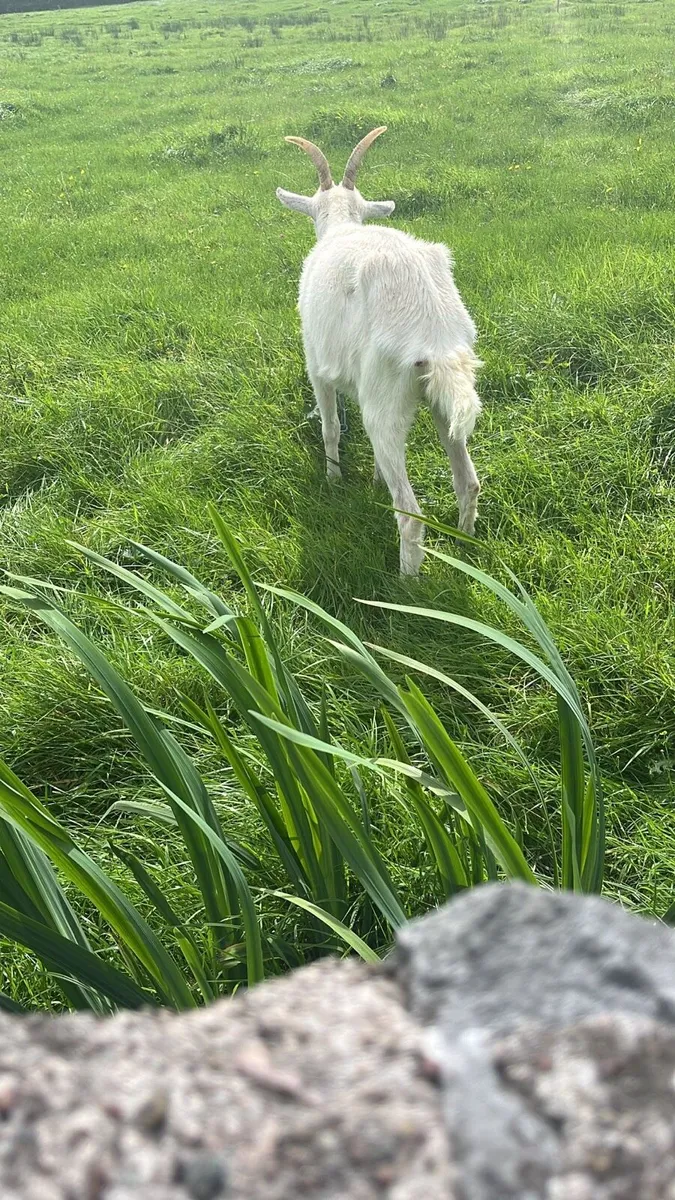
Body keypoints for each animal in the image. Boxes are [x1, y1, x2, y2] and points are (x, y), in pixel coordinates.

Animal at [277, 126, 482, 575]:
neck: (341, 226)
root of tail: (433, 331)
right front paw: (373, 478)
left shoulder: (317, 365)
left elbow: (330, 426)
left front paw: (335, 478)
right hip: (444, 401)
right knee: (469, 482)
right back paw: (466, 545)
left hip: (385, 402)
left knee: (409, 514)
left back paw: (407, 582)